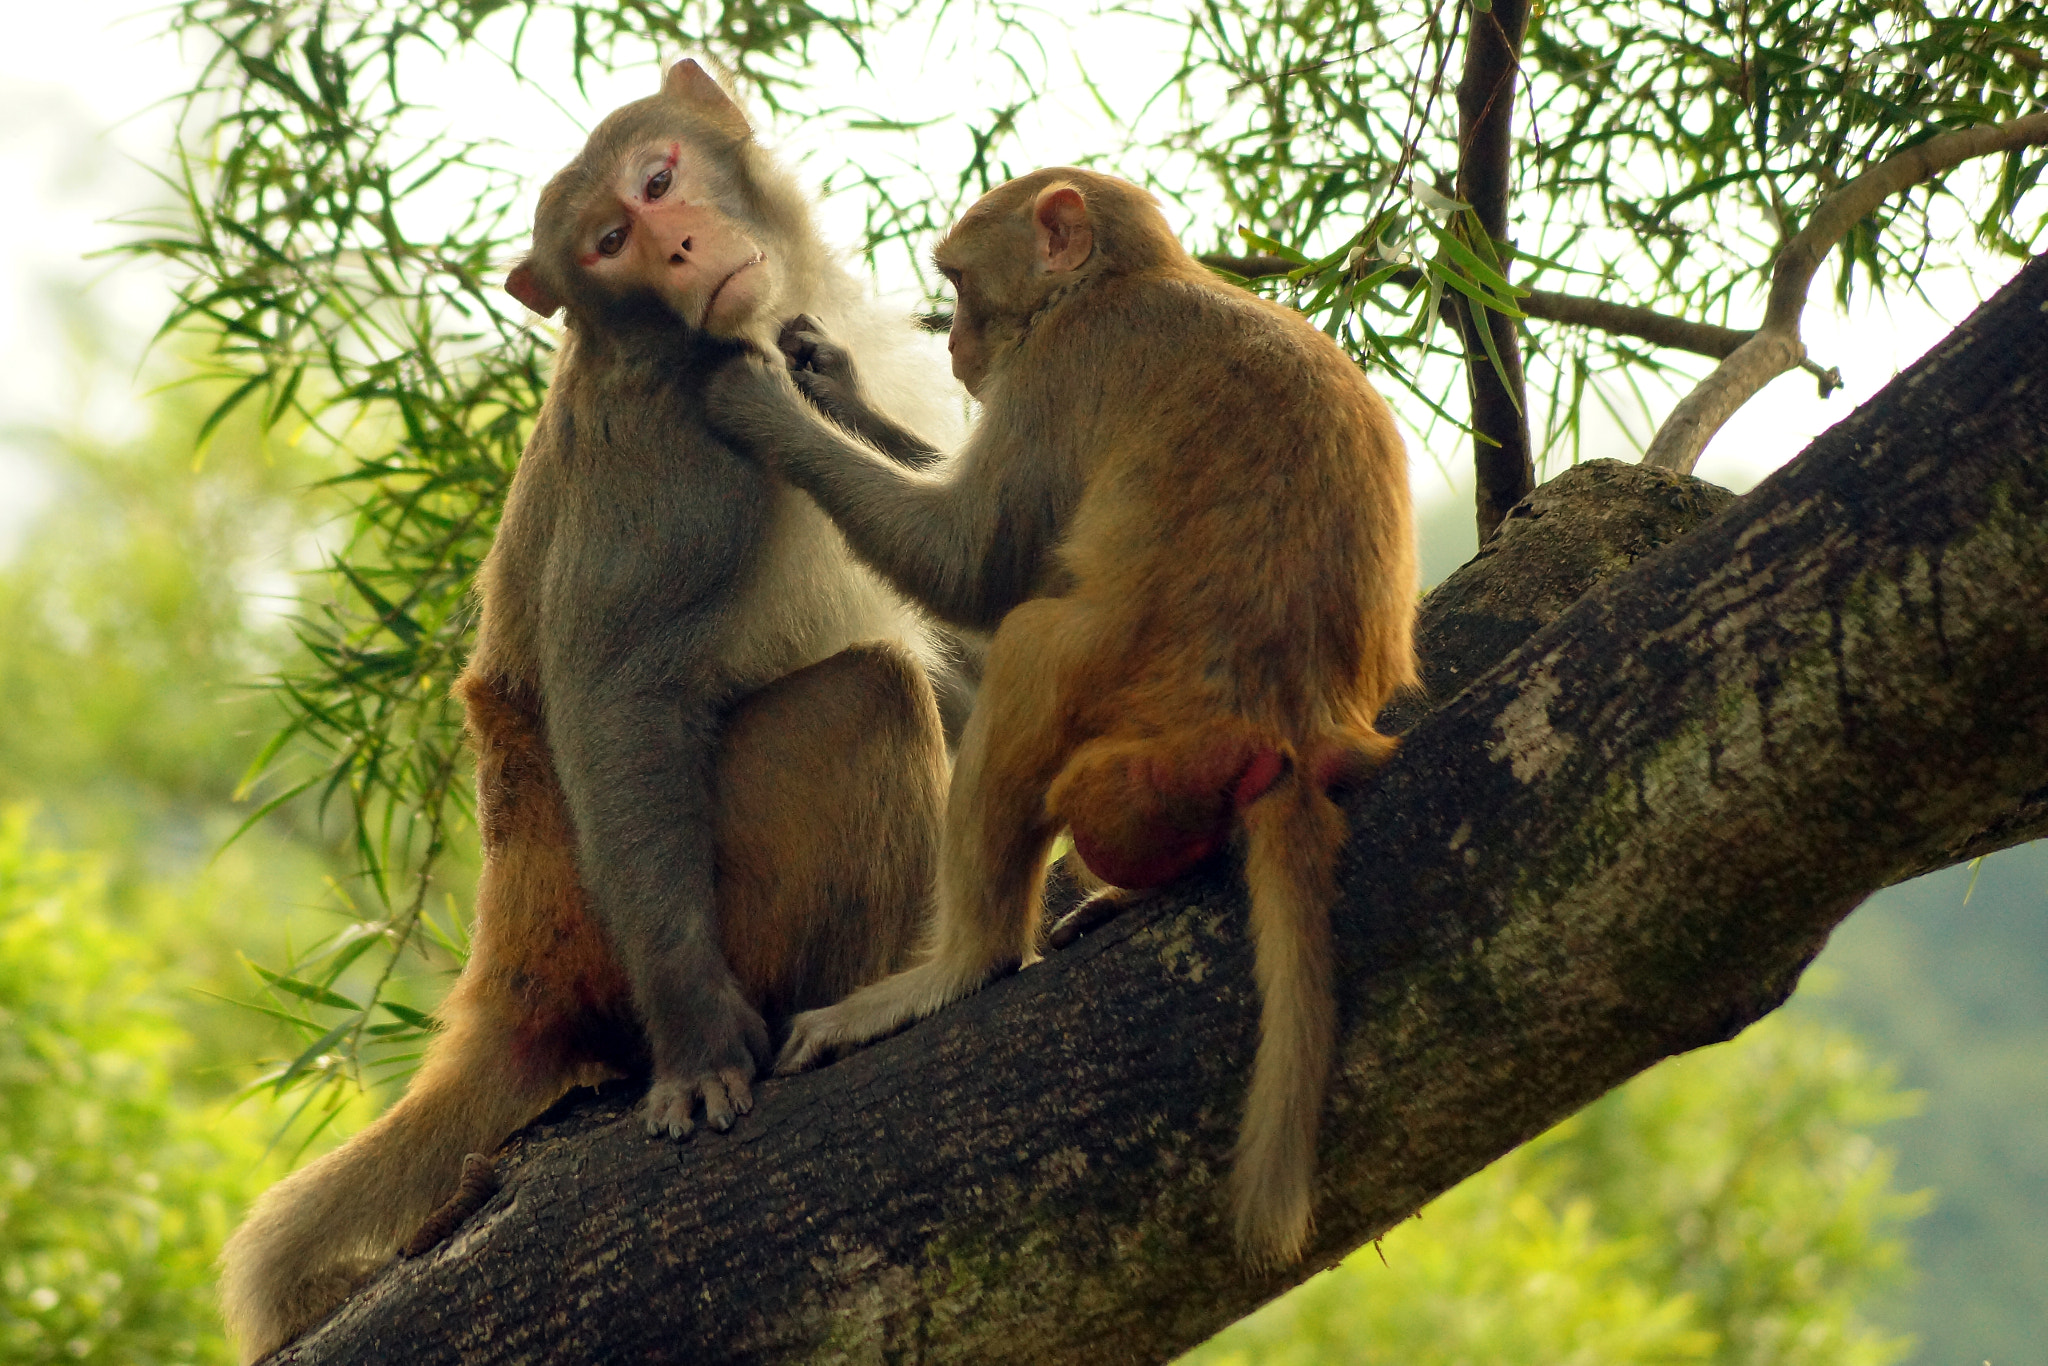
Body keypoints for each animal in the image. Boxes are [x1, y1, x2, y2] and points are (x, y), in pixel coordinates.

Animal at [218, 58, 958, 1359]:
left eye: (656, 182)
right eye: (611, 244)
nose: (676, 243)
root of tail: (521, 963)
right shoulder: (670, 446)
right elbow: (621, 699)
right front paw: (701, 1048)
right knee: (869, 694)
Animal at [696, 165, 1417, 1269]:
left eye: (959, 282)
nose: (955, 344)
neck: (1125, 278)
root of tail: (1294, 733)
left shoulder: (1059, 368)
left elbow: (976, 568)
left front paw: (763, 401)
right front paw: (830, 380)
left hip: (1128, 713)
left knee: (1034, 645)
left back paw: (960, 965)